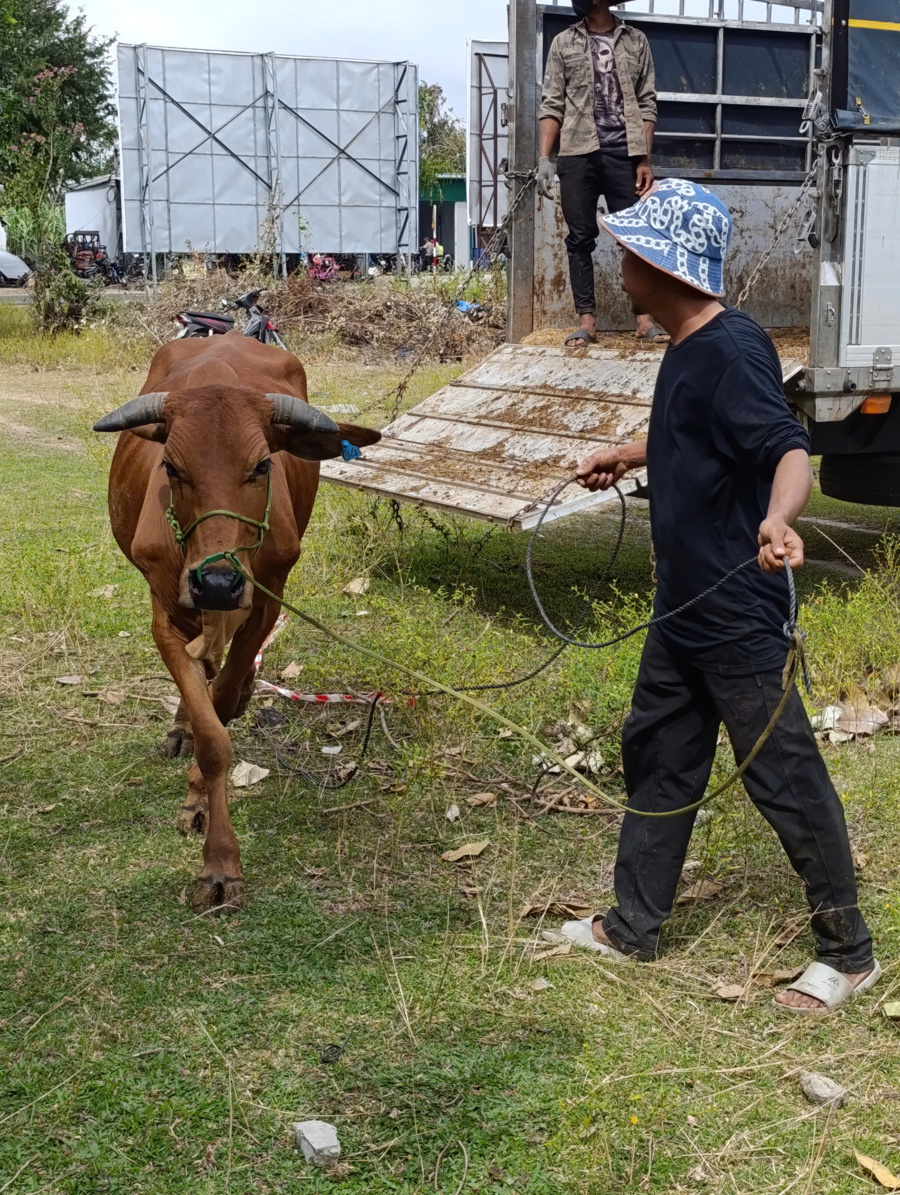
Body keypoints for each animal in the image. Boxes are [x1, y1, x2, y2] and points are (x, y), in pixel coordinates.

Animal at [93, 332, 380, 908]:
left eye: (262, 466)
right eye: (172, 467)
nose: (218, 584)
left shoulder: (266, 602)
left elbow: (222, 706)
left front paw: (209, 824)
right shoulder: (165, 613)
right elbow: (210, 733)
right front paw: (215, 850)